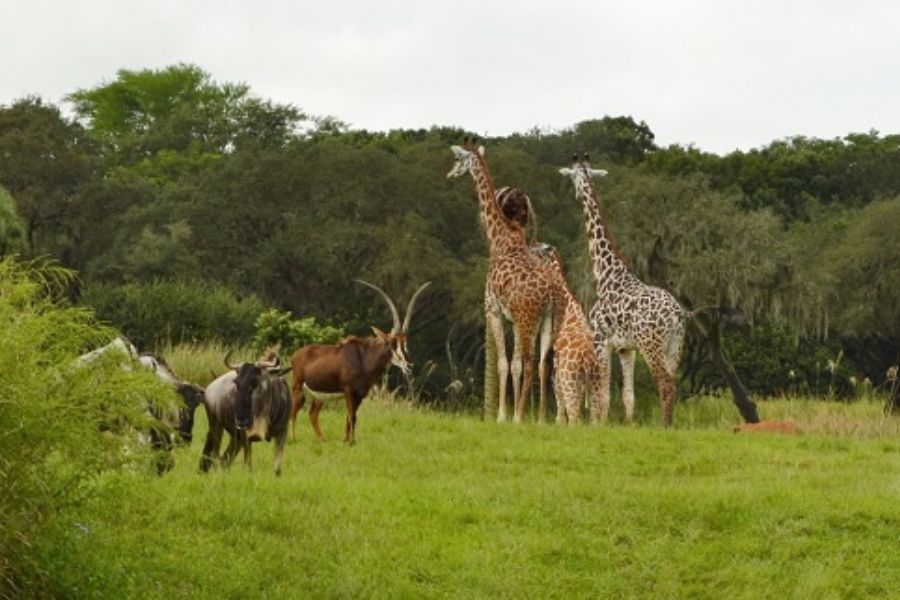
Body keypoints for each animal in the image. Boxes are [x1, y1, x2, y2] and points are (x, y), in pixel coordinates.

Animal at [288, 278, 428, 442]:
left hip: (319, 395)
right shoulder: (349, 391)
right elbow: (351, 416)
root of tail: (295, 355)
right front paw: (351, 441)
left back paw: (322, 440)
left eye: (405, 342)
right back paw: (293, 438)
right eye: (392, 343)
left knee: (312, 414)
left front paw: (347, 439)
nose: (408, 364)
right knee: (293, 411)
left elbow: (351, 418)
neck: (364, 359)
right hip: (298, 388)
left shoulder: (360, 394)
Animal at [448, 141, 568, 424]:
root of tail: (552, 294)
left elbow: (504, 363)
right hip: (550, 321)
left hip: (528, 320)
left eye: (457, 159)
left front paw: (503, 415)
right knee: (544, 363)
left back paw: (519, 417)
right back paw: (540, 419)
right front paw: (511, 412)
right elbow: (513, 365)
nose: (449, 174)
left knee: (531, 362)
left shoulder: (493, 310)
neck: (502, 238)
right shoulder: (511, 318)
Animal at [560, 155, 684, 426]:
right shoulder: (626, 348)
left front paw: (599, 424)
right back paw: (670, 424)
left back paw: (664, 426)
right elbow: (628, 396)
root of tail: (677, 315)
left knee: (665, 383)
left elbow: (602, 392)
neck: (606, 274)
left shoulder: (600, 339)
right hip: (675, 346)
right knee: (674, 382)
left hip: (652, 345)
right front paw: (628, 424)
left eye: (573, 177)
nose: (575, 193)